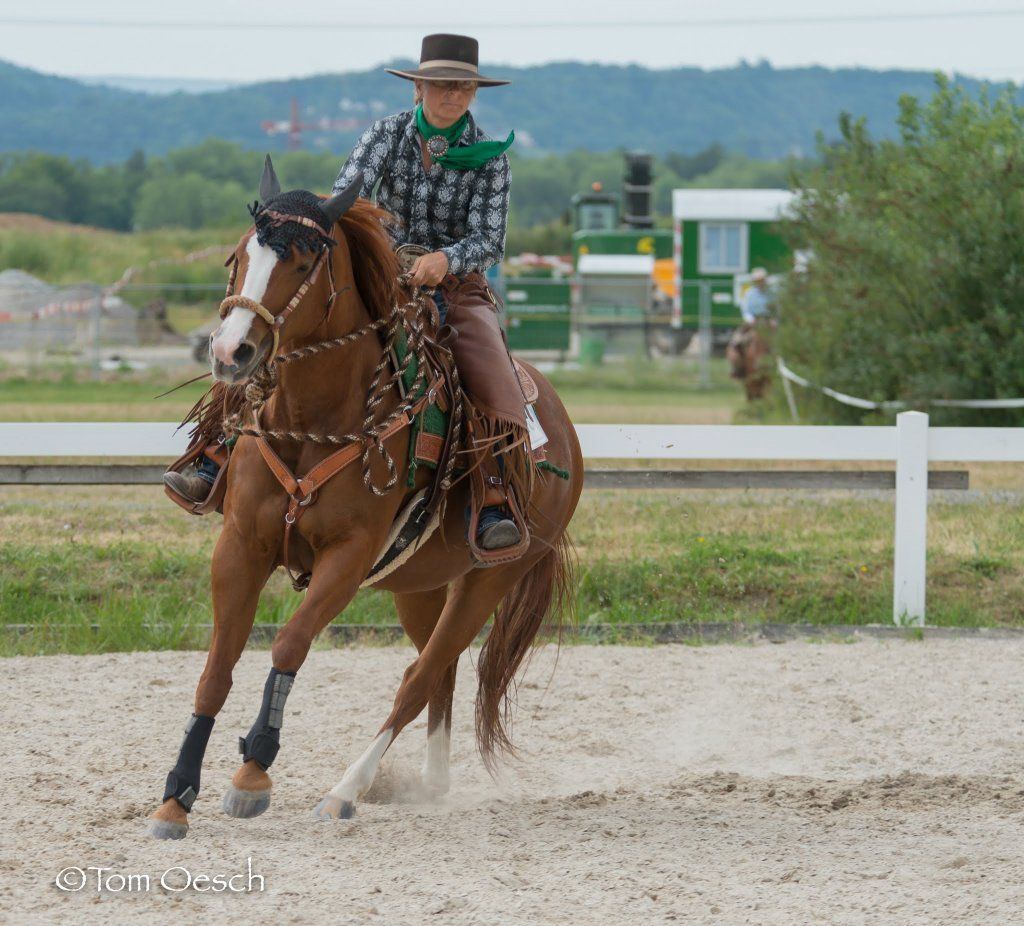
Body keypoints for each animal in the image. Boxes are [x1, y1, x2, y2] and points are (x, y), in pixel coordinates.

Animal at [147, 158, 583, 839]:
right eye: (237, 256)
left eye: (303, 261)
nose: (229, 352)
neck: (314, 421)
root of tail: (563, 429)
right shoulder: (240, 547)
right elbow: (216, 668)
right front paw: (176, 796)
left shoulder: (347, 560)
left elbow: (289, 643)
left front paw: (252, 774)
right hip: (420, 584)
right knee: (440, 675)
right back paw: (427, 785)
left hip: (490, 580)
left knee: (419, 679)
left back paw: (345, 791)